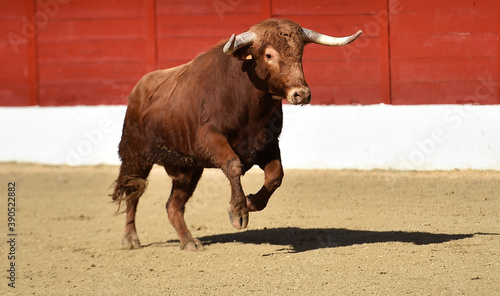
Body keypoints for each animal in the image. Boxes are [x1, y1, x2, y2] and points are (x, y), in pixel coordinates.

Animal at [111, 18, 362, 250]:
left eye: (300, 52)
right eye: (269, 55)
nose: (301, 94)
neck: (249, 103)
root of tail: (138, 89)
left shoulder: (268, 143)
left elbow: (275, 175)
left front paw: (252, 203)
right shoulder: (209, 138)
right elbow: (233, 165)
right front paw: (239, 212)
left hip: (188, 168)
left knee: (173, 205)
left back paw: (189, 241)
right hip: (135, 155)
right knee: (133, 192)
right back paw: (130, 239)